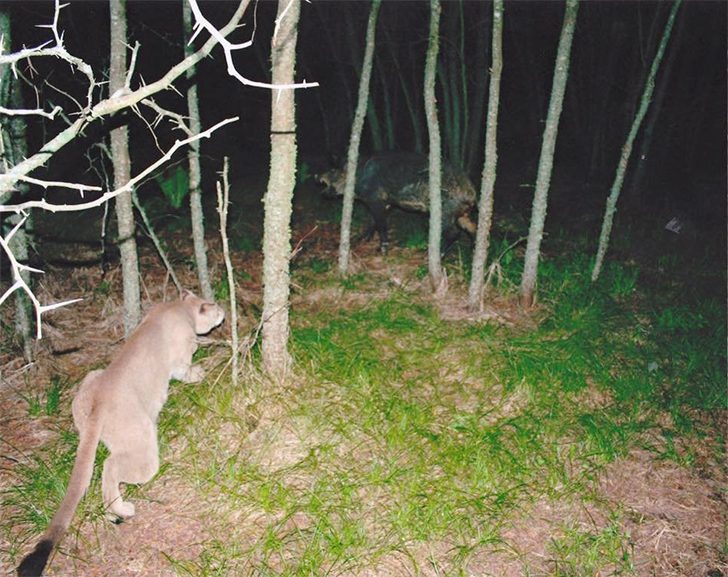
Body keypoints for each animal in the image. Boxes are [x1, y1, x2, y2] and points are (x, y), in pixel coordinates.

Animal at [318, 151, 477, 253]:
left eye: (333, 170)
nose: (316, 175)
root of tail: (471, 192)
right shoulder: (385, 203)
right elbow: (373, 222)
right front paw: (362, 240)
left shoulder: (375, 200)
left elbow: (381, 224)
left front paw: (381, 250)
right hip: (462, 213)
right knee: (472, 227)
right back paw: (473, 250)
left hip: (445, 210)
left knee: (454, 233)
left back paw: (432, 254)